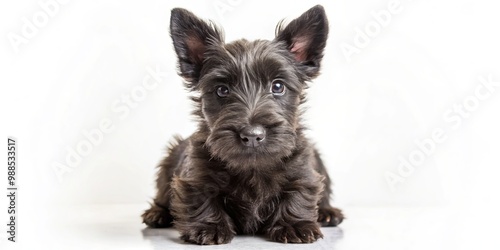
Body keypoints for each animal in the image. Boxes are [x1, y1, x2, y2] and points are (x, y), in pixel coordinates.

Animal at [143, 4, 342, 245]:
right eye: (222, 90)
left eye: (278, 86)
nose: (252, 135)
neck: (252, 166)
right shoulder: (194, 176)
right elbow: (201, 196)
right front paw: (209, 226)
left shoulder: (303, 171)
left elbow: (298, 191)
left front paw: (294, 225)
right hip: (170, 158)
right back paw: (157, 213)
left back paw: (328, 213)